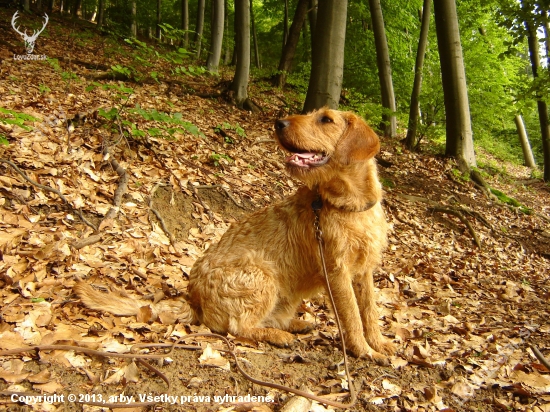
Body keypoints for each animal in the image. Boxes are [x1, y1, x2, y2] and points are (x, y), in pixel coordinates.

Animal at [77, 108, 396, 364]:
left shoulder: (363, 271)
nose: (279, 122)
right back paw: (278, 335)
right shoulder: (337, 271)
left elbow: (369, 311)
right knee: (237, 327)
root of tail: (194, 300)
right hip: (261, 275)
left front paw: (378, 344)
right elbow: (352, 316)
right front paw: (365, 351)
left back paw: (293, 325)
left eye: (326, 119)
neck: (349, 206)